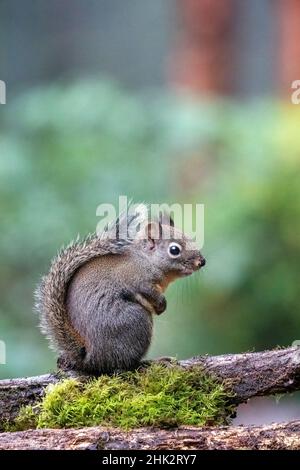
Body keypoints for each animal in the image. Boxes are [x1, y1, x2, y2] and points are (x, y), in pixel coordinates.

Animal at [34, 206, 204, 374]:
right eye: (174, 250)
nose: (202, 261)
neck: (146, 260)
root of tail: (89, 359)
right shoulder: (137, 280)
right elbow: (148, 291)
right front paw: (161, 304)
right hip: (135, 321)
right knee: (125, 363)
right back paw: (150, 362)